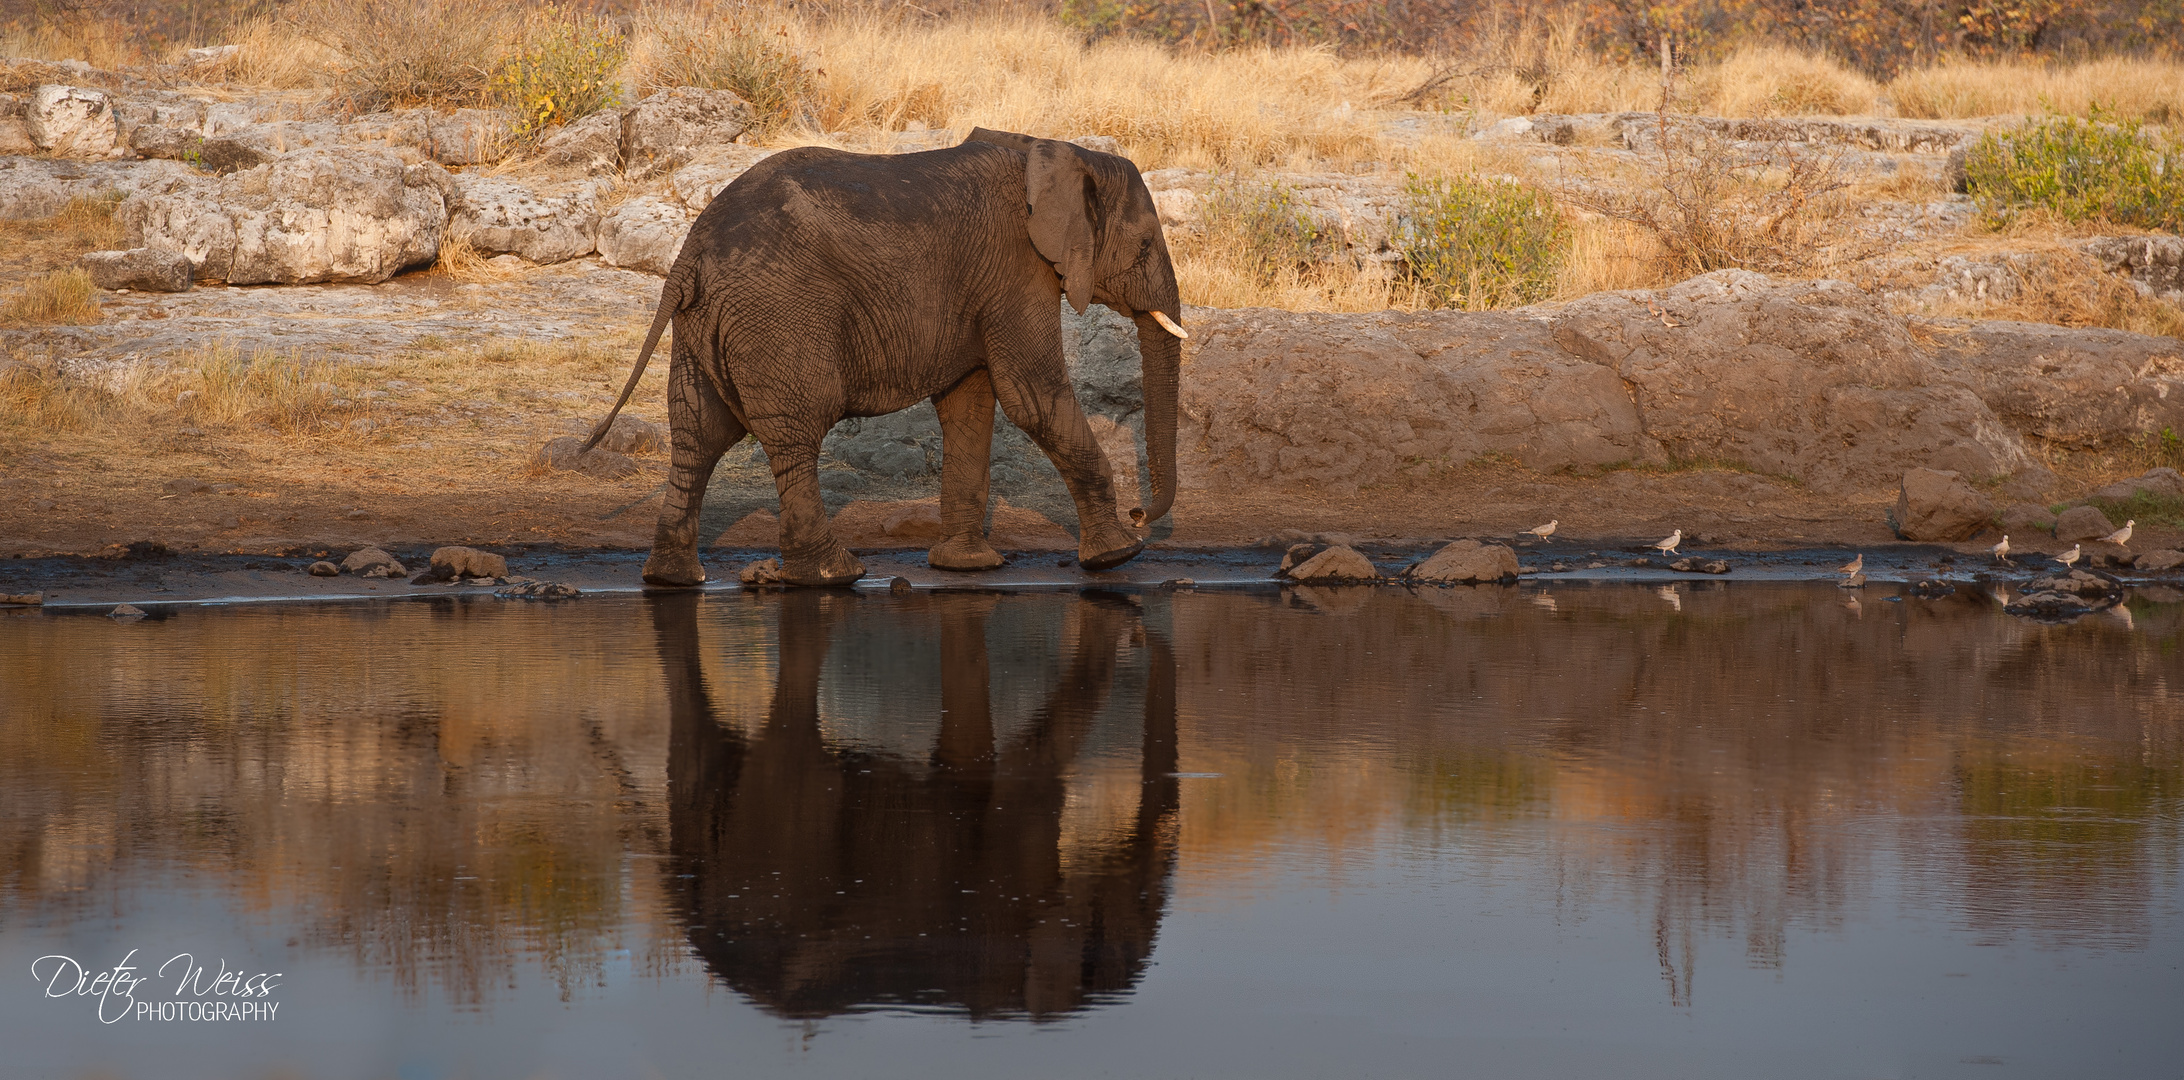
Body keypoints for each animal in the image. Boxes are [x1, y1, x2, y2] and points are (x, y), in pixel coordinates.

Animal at [589, 127, 1188, 593]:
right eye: (1144, 246)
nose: (1140, 514)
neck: (1050, 150)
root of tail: (689, 256)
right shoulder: (1015, 269)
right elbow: (1032, 396)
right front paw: (1117, 556)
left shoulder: (982, 285)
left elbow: (969, 404)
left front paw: (968, 568)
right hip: (779, 315)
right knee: (793, 433)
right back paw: (836, 576)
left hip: (702, 325)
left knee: (699, 433)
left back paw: (673, 579)